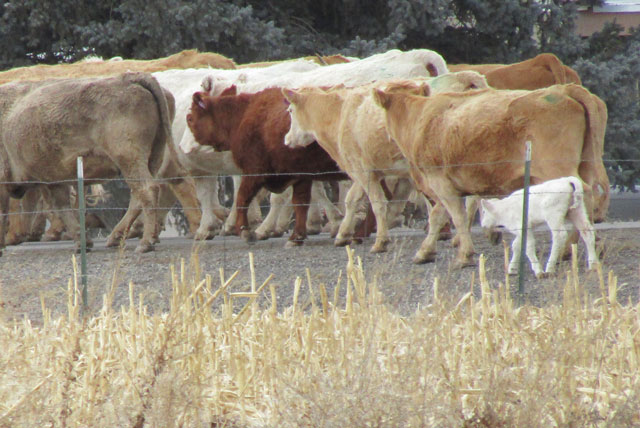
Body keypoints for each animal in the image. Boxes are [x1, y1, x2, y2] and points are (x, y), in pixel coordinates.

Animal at [0, 72, 175, 255]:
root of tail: (129, 78)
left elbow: (4, 211)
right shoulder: (54, 180)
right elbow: (62, 208)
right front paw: (82, 243)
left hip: (129, 159)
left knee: (147, 190)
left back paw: (145, 243)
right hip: (152, 158)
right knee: (138, 196)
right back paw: (117, 238)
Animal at [187, 86, 349, 246]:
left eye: (189, 118)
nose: (186, 149)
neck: (243, 115)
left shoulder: (254, 172)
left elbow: (242, 198)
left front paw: (245, 231)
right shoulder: (301, 176)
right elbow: (300, 203)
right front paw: (297, 236)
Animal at [372, 83, 608, 268]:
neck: (421, 119)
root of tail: (563, 89)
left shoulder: (440, 183)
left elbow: (454, 216)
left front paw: (464, 256)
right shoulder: (448, 186)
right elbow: (440, 215)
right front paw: (426, 252)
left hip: (557, 171)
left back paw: (567, 249)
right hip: (584, 165)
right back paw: (584, 246)